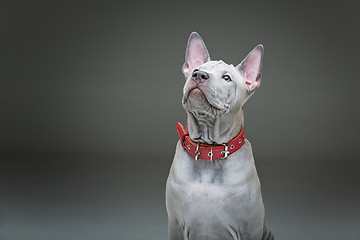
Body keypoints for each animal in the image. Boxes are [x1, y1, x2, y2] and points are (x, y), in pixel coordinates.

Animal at [165, 32, 272, 240]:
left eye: (227, 78)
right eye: (195, 70)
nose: (199, 75)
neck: (210, 152)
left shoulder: (250, 227)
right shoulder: (175, 224)